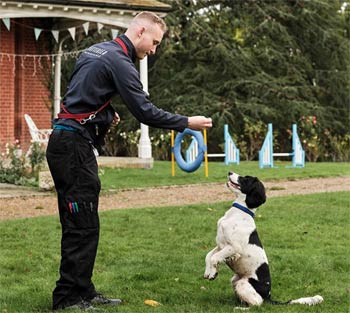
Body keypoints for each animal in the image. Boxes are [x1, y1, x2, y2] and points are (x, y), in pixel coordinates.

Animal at [204, 171, 324, 304]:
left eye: (246, 179)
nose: (229, 172)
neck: (236, 214)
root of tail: (268, 296)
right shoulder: (220, 245)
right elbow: (208, 256)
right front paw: (208, 272)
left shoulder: (234, 248)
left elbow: (214, 257)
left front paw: (213, 273)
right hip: (235, 280)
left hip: (243, 283)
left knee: (257, 303)